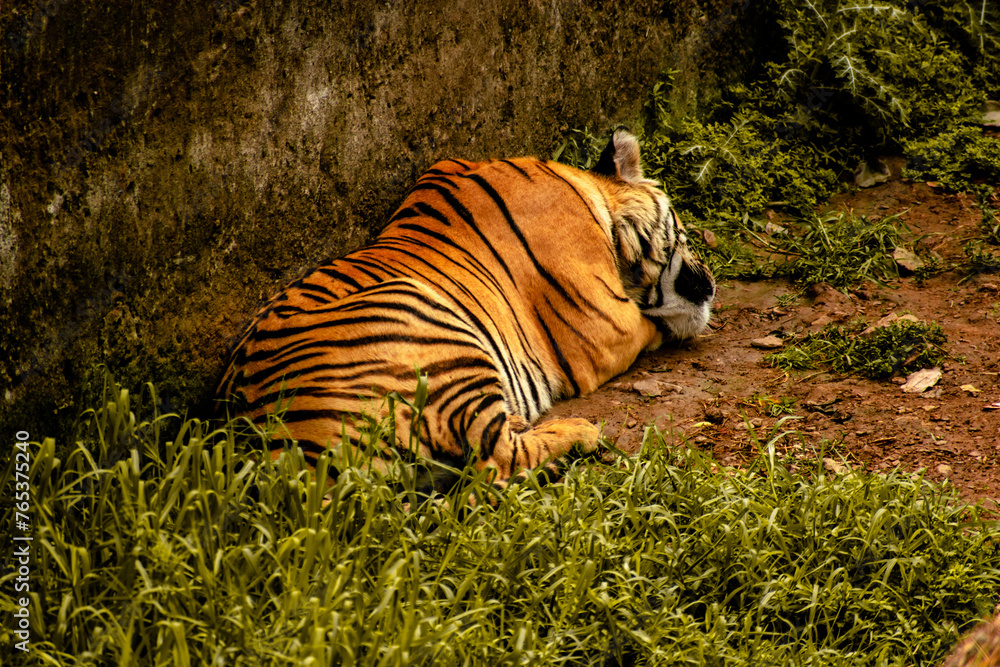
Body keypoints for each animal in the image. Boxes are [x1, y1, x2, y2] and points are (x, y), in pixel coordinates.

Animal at [215, 129, 715, 492]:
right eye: (684, 229)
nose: (711, 283)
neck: (593, 198)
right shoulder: (605, 323)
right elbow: (652, 325)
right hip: (438, 329)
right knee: (496, 460)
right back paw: (577, 434)